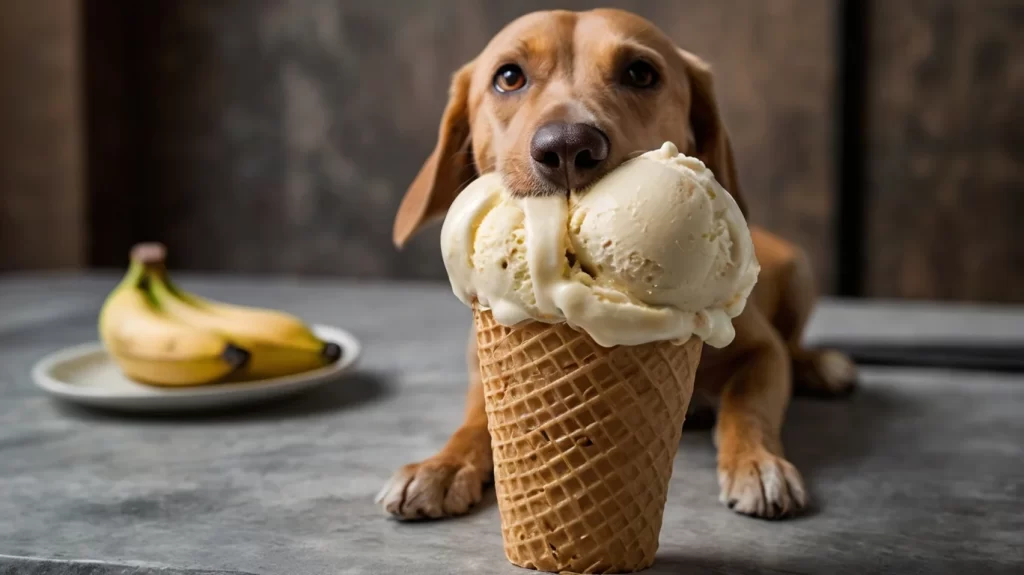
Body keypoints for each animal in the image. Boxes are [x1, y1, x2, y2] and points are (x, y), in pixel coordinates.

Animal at [376, 7, 856, 519]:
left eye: (640, 73)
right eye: (508, 77)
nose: (567, 146)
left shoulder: (762, 352)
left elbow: (749, 407)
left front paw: (756, 460)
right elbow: (477, 420)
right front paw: (445, 464)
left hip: (800, 273)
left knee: (793, 345)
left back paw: (819, 365)